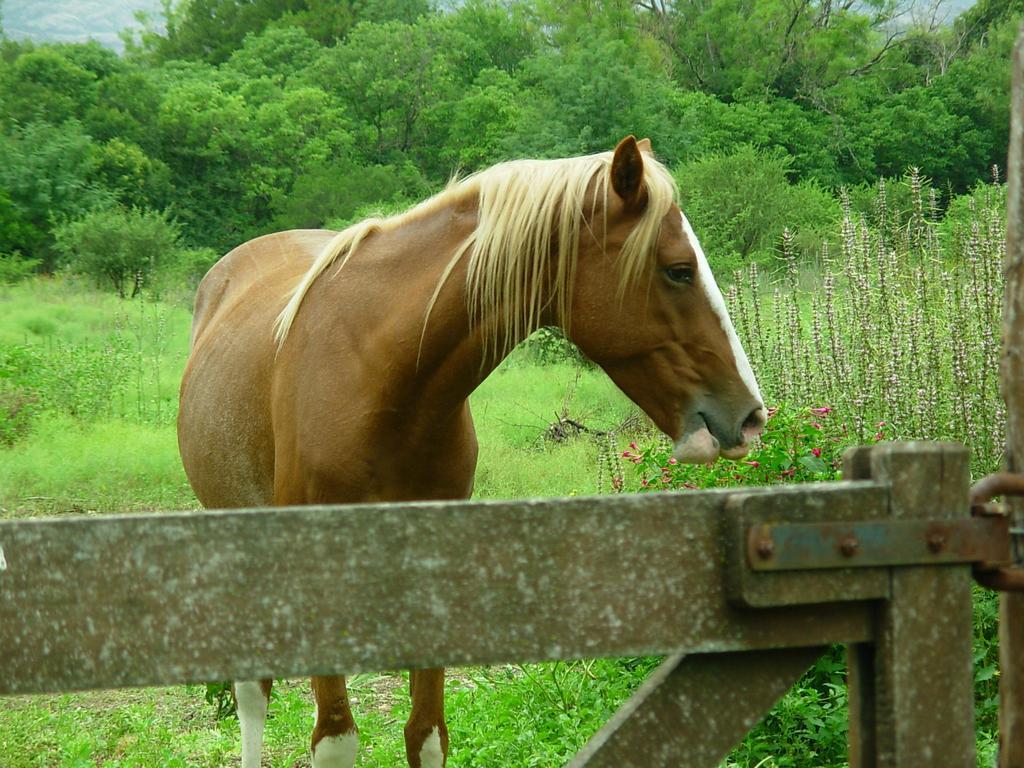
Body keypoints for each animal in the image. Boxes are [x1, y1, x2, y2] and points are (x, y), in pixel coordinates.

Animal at [180, 138, 765, 768]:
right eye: (678, 270)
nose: (751, 417)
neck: (377, 375)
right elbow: (335, 741)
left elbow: (427, 733)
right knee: (252, 692)